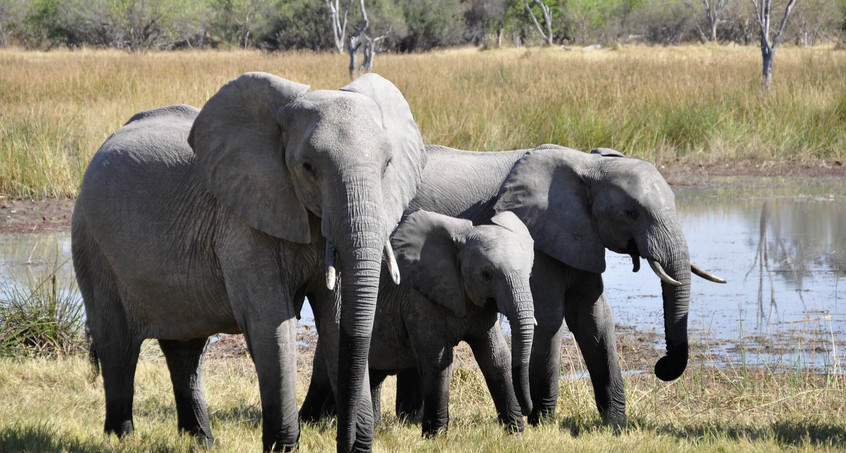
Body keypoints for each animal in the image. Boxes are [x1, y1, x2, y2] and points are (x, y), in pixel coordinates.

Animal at [72, 72, 428, 450]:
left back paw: (201, 441)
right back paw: (121, 437)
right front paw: (281, 448)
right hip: (92, 242)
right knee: (118, 345)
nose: (347, 443)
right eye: (307, 167)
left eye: (387, 165)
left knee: (186, 350)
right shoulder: (241, 222)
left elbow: (335, 319)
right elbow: (271, 321)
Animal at [304, 208, 536, 434]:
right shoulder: (418, 300)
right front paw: (436, 436)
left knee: (373, 376)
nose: (528, 410)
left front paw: (516, 431)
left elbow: (496, 357)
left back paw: (369, 425)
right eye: (486, 275)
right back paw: (310, 424)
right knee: (323, 376)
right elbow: (438, 361)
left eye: (529, 272)